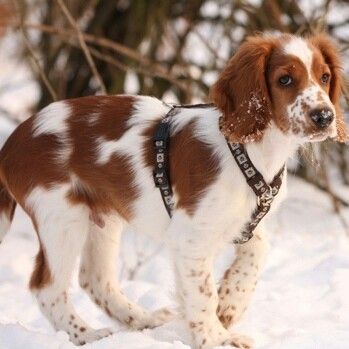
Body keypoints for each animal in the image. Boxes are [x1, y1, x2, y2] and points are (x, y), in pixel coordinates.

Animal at [0, 33, 344, 348]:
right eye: (285, 79)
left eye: (325, 77)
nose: (324, 117)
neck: (250, 150)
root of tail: (12, 142)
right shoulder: (190, 236)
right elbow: (203, 292)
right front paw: (216, 338)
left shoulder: (244, 220)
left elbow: (258, 249)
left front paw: (231, 303)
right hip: (61, 218)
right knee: (47, 287)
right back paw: (87, 335)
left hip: (102, 218)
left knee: (95, 279)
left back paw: (143, 320)